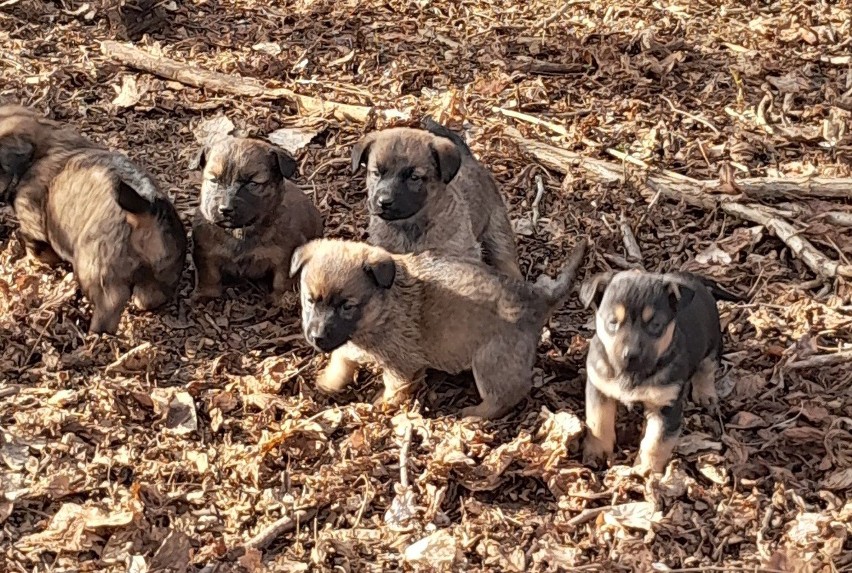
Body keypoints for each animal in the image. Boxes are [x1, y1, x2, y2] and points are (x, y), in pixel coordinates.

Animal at [191, 137, 324, 302]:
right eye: (214, 180)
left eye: (252, 183)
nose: (225, 209)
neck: (240, 231)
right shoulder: (206, 250)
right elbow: (210, 274)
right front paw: (206, 294)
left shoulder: (286, 255)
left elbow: (282, 280)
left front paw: (281, 299)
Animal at [290, 235, 588, 418]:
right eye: (310, 300)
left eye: (346, 306)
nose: (316, 338)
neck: (380, 310)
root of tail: (536, 297)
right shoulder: (350, 344)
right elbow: (342, 359)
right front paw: (329, 381)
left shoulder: (401, 366)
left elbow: (394, 388)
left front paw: (382, 404)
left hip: (489, 361)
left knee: (506, 395)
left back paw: (474, 415)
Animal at [350, 117, 524, 278]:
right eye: (376, 173)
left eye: (414, 177)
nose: (383, 202)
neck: (409, 228)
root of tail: (469, 158)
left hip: (497, 230)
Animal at [584, 272, 736, 474]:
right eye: (612, 322)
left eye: (655, 324)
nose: (630, 355)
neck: (632, 374)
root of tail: (694, 278)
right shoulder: (599, 387)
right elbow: (598, 422)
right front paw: (596, 452)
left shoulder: (666, 407)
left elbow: (655, 443)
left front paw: (645, 471)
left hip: (713, 342)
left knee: (707, 368)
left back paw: (706, 394)